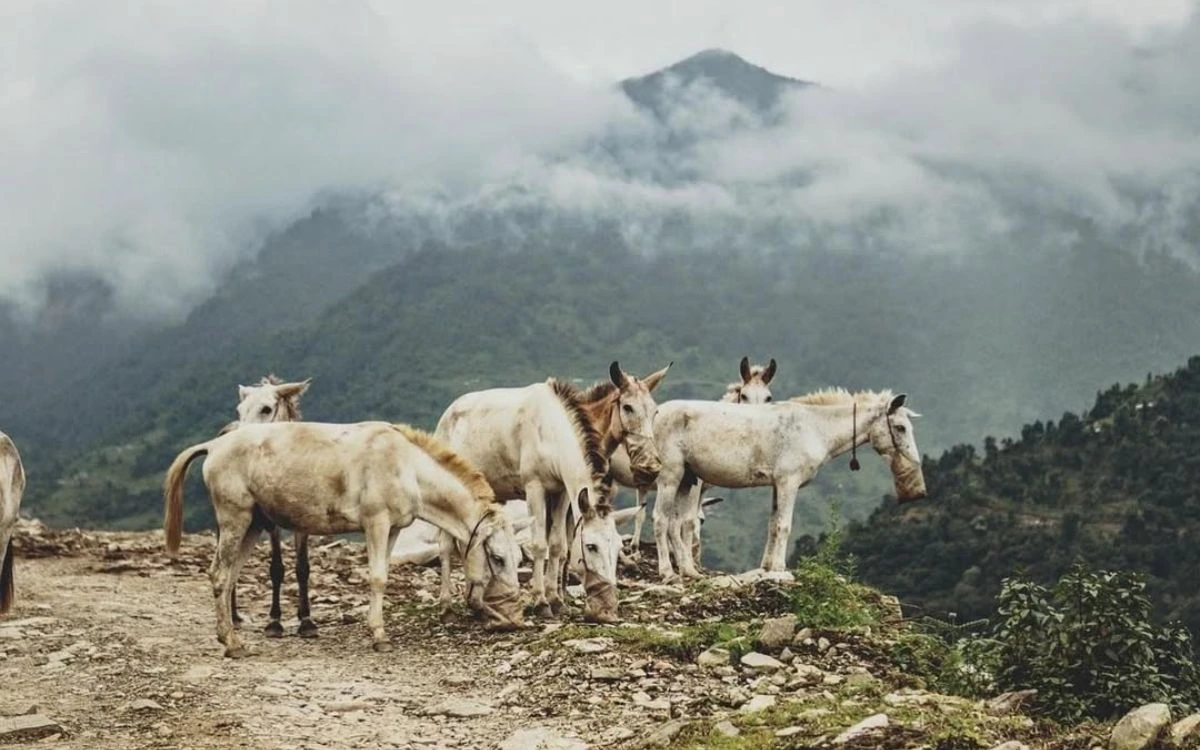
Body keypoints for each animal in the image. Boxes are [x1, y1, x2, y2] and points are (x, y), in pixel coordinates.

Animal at [164, 421, 525, 657]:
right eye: (497, 558)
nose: (513, 620)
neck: (407, 468)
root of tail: (215, 445)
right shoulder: (376, 523)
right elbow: (377, 578)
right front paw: (379, 635)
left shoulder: (392, 529)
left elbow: (383, 575)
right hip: (235, 519)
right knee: (219, 575)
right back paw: (232, 643)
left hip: (253, 524)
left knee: (229, 577)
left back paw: (229, 636)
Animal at [217, 376, 317, 638]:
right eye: (240, 409)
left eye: (266, 409)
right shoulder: (272, 524)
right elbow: (277, 568)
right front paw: (274, 621)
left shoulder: (305, 522)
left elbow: (302, 568)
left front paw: (306, 620)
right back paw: (233, 616)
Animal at [434, 361, 670, 623]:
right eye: (628, 407)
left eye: (655, 412)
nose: (607, 611)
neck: (551, 432)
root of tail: (448, 413)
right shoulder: (535, 489)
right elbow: (540, 545)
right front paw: (540, 602)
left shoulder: (562, 493)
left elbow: (558, 545)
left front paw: (557, 600)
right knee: (445, 546)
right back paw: (446, 606)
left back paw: (476, 603)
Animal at [615, 357, 777, 558]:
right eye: (744, 396)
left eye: (768, 398)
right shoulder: (695, 483)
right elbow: (687, 521)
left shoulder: (698, 489)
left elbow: (690, 520)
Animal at [651, 388, 926, 581]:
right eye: (900, 427)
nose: (914, 461)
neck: (815, 427)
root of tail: (656, 413)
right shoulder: (788, 483)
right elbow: (784, 526)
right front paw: (780, 569)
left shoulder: (777, 485)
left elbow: (773, 525)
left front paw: (768, 567)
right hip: (670, 475)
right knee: (661, 519)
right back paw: (667, 572)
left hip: (686, 479)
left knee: (676, 524)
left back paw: (688, 570)